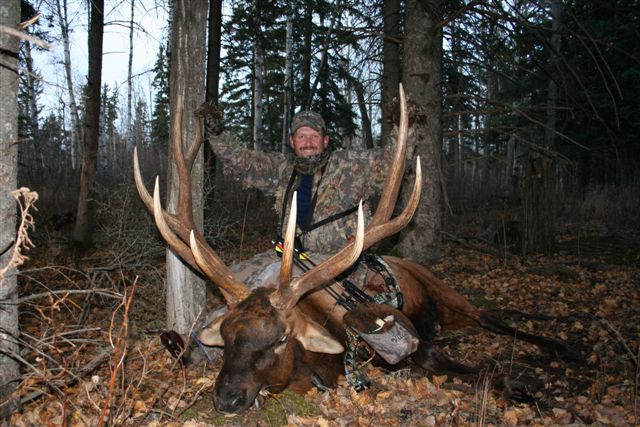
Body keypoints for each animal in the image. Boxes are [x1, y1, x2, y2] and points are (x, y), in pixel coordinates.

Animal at [133, 86, 580, 414]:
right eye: (225, 335)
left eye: (280, 338)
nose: (226, 399)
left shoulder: (402, 340)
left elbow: (458, 364)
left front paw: (523, 388)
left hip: (444, 291)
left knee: (494, 318)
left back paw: (564, 345)